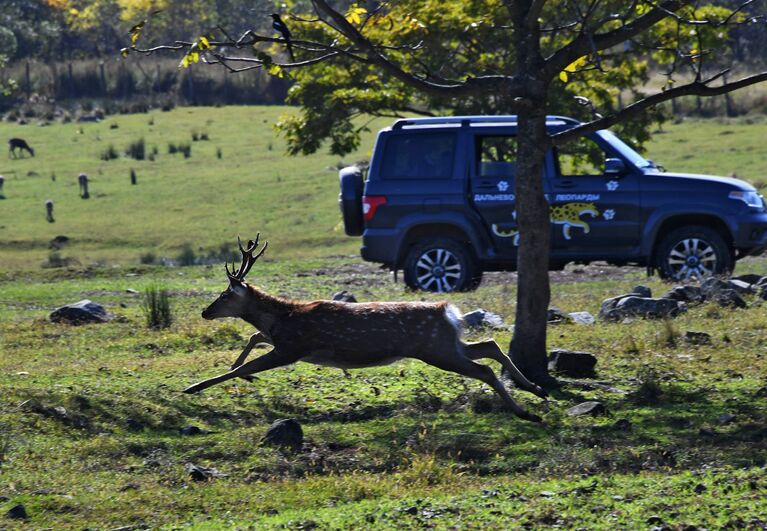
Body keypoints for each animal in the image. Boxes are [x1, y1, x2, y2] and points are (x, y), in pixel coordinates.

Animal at [187, 235, 548, 422]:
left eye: (224, 295)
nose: (206, 312)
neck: (285, 317)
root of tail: (448, 311)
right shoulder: (285, 343)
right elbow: (254, 337)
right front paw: (233, 370)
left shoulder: (294, 347)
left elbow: (248, 360)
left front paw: (195, 386)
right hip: (446, 344)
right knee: (490, 344)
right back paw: (535, 389)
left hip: (434, 349)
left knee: (483, 368)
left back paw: (524, 411)